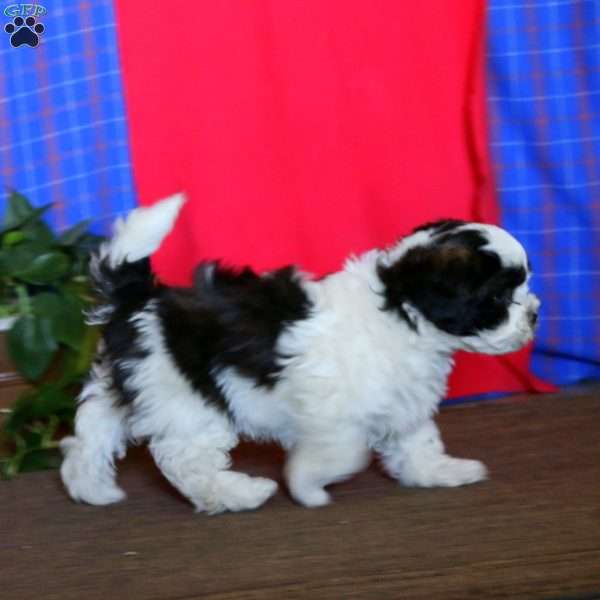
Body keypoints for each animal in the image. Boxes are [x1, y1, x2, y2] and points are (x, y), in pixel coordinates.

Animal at [59, 195, 540, 512]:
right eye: (499, 297)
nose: (535, 314)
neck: (399, 310)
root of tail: (141, 297)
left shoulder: (402, 401)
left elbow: (415, 441)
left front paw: (439, 472)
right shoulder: (333, 414)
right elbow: (342, 451)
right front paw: (306, 486)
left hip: (125, 386)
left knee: (89, 438)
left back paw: (93, 489)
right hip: (186, 398)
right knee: (188, 461)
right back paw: (240, 494)